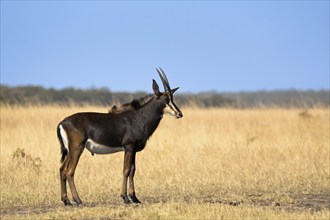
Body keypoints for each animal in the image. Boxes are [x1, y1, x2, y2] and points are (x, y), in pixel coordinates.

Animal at [55, 68, 182, 205]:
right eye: (165, 99)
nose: (179, 114)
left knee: (62, 170)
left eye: (172, 98)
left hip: (69, 151)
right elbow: (126, 170)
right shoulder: (129, 147)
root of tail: (62, 123)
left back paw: (66, 200)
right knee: (69, 171)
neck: (139, 117)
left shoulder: (133, 150)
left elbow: (132, 170)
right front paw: (125, 197)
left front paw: (135, 198)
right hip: (77, 148)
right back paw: (78, 200)